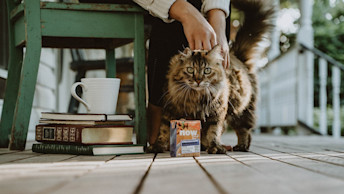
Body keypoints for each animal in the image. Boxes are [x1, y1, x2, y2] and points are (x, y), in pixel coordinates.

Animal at [147, 0, 274, 154]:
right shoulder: (169, 110)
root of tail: (237, 56)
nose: (198, 80)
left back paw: (241, 146)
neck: (194, 97)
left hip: (241, 110)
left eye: (207, 70)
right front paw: (158, 146)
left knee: (244, 130)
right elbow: (164, 130)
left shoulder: (217, 112)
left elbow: (214, 131)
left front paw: (215, 147)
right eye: (190, 70)